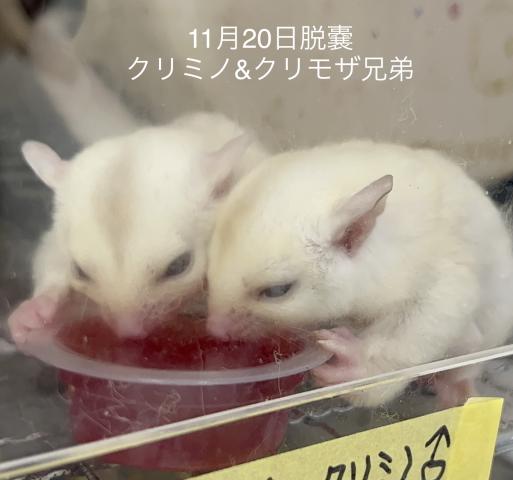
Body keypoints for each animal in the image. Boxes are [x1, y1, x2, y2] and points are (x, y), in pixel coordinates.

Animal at [206, 140, 513, 407]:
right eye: (207, 278)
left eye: (277, 291)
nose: (214, 329)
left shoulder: (437, 273)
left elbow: (431, 313)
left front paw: (355, 363)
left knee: (468, 355)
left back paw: (456, 388)